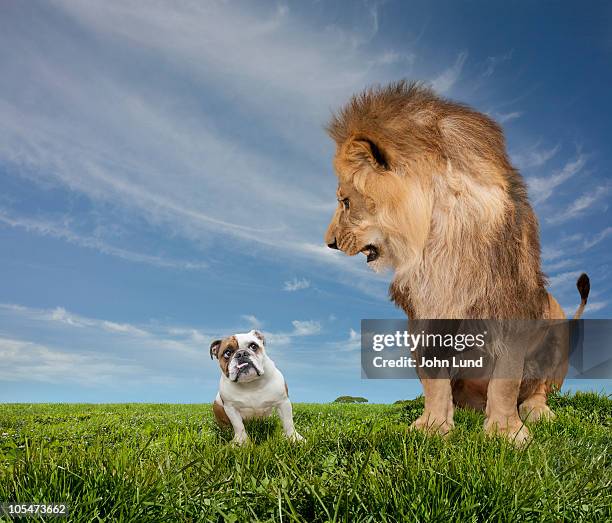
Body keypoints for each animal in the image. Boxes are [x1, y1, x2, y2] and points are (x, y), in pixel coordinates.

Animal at [326, 81, 588, 442]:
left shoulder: (509, 301)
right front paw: (433, 427)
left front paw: (506, 433)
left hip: (556, 329)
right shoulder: (426, 313)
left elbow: (506, 380)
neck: (436, 241)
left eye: (345, 201)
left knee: (537, 388)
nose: (329, 243)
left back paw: (537, 412)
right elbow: (434, 380)